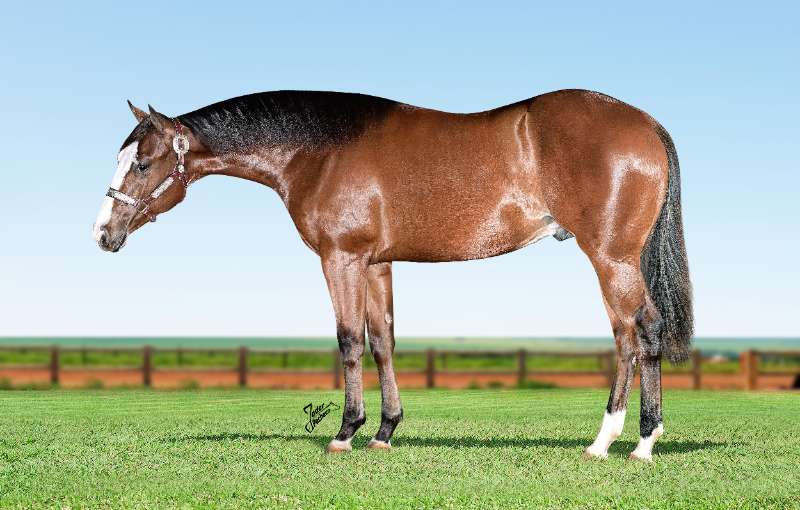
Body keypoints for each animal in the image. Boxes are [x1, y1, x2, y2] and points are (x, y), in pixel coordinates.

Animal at [93, 89, 692, 461]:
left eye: (142, 163)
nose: (102, 233)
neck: (319, 151)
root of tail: (646, 124)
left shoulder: (340, 259)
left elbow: (349, 341)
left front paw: (345, 432)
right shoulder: (377, 263)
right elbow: (383, 341)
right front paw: (384, 431)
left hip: (610, 257)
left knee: (637, 332)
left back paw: (623, 441)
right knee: (636, 334)